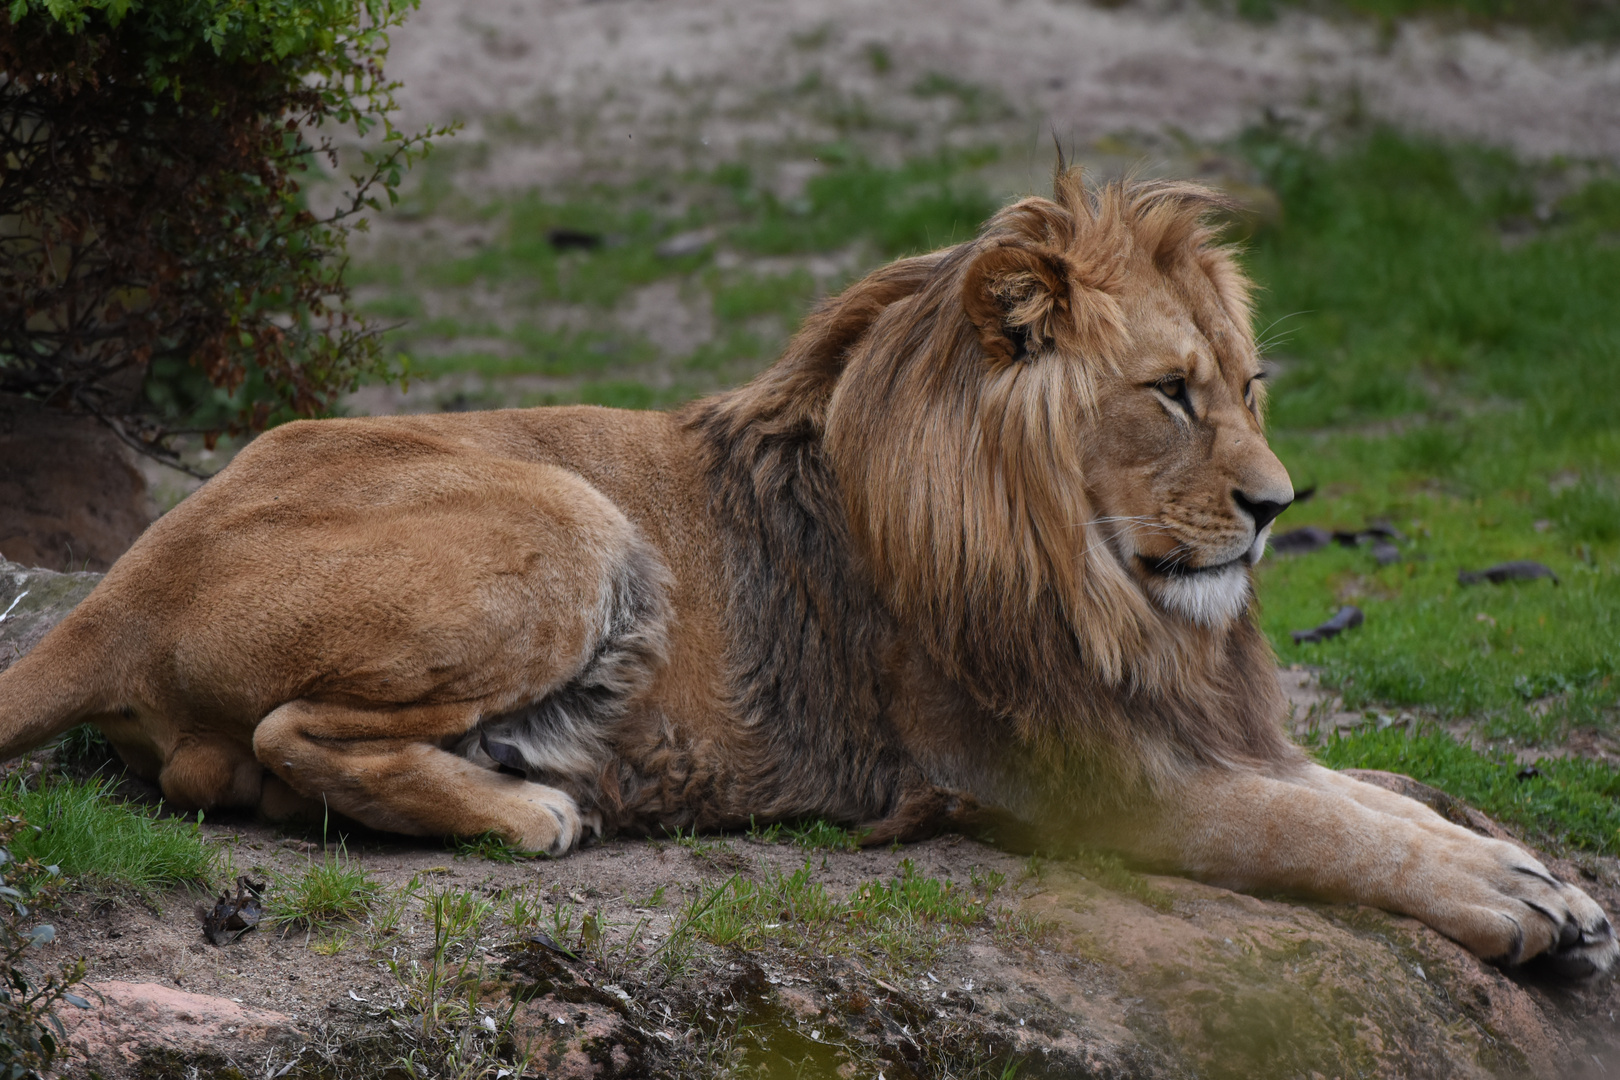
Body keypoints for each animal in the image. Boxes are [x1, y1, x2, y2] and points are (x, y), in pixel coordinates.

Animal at [3, 170, 1620, 977]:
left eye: (1251, 387)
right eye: (1168, 394)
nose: (1282, 509)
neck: (1100, 584)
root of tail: (121, 583)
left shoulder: (1181, 727)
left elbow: (1362, 795)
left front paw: (1532, 867)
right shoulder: (1082, 783)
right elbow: (1324, 831)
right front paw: (1514, 899)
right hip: (574, 516)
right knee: (287, 738)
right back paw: (534, 806)